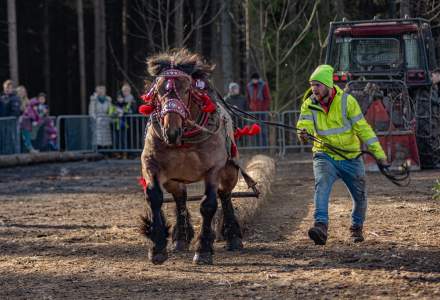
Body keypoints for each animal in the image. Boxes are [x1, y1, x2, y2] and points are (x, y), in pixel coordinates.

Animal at [139, 48, 244, 264]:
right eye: (158, 91)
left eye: (186, 90)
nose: (171, 132)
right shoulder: (151, 164)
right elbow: (154, 197)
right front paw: (157, 247)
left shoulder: (213, 169)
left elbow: (208, 205)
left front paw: (203, 249)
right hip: (173, 179)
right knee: (180, 197)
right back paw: (181, 237)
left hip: (229, 170)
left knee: (225, 195)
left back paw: (233, 236)